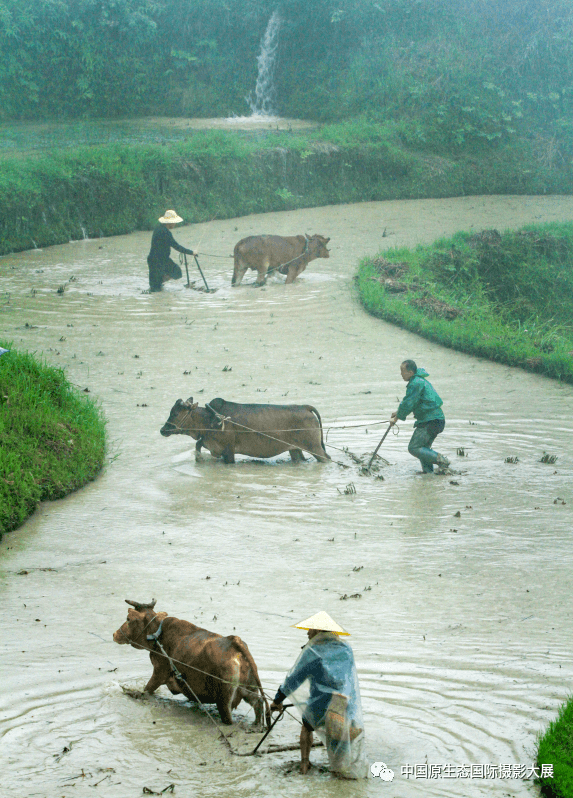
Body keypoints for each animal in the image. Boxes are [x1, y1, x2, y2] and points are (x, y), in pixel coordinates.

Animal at [115, 600, 272, 732]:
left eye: (128, 619)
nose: (115, 634)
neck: (157, 634)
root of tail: (234, 641)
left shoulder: (159, 672)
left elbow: (146, 690)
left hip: (224, 701)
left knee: (230, 719)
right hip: (249, 689)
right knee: (258, 704)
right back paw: (256, 726)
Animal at [161, 398, 330, 466]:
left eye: (175, 413)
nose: (163, 430)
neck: (210, 419)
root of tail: (304, 407)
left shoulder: (229, 452)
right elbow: (198, 445)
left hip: (315, 447)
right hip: (294, 449)